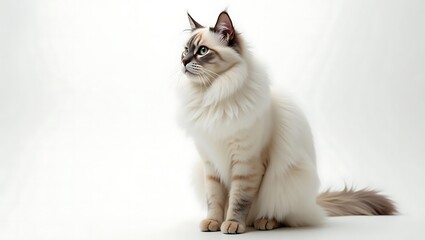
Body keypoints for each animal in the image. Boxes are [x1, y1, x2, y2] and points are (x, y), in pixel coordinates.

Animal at [175, 11, 394, 234]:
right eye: (185, 50)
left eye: (202, 51)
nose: (183, 61)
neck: (212, 94)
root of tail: (314, 205)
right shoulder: (210, 163)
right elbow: (214, 200)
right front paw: (213, 222)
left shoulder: (247, 163)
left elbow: (239, 200)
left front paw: (233, 224)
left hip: (287, 178)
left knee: (281, 215)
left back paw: (264, 222)